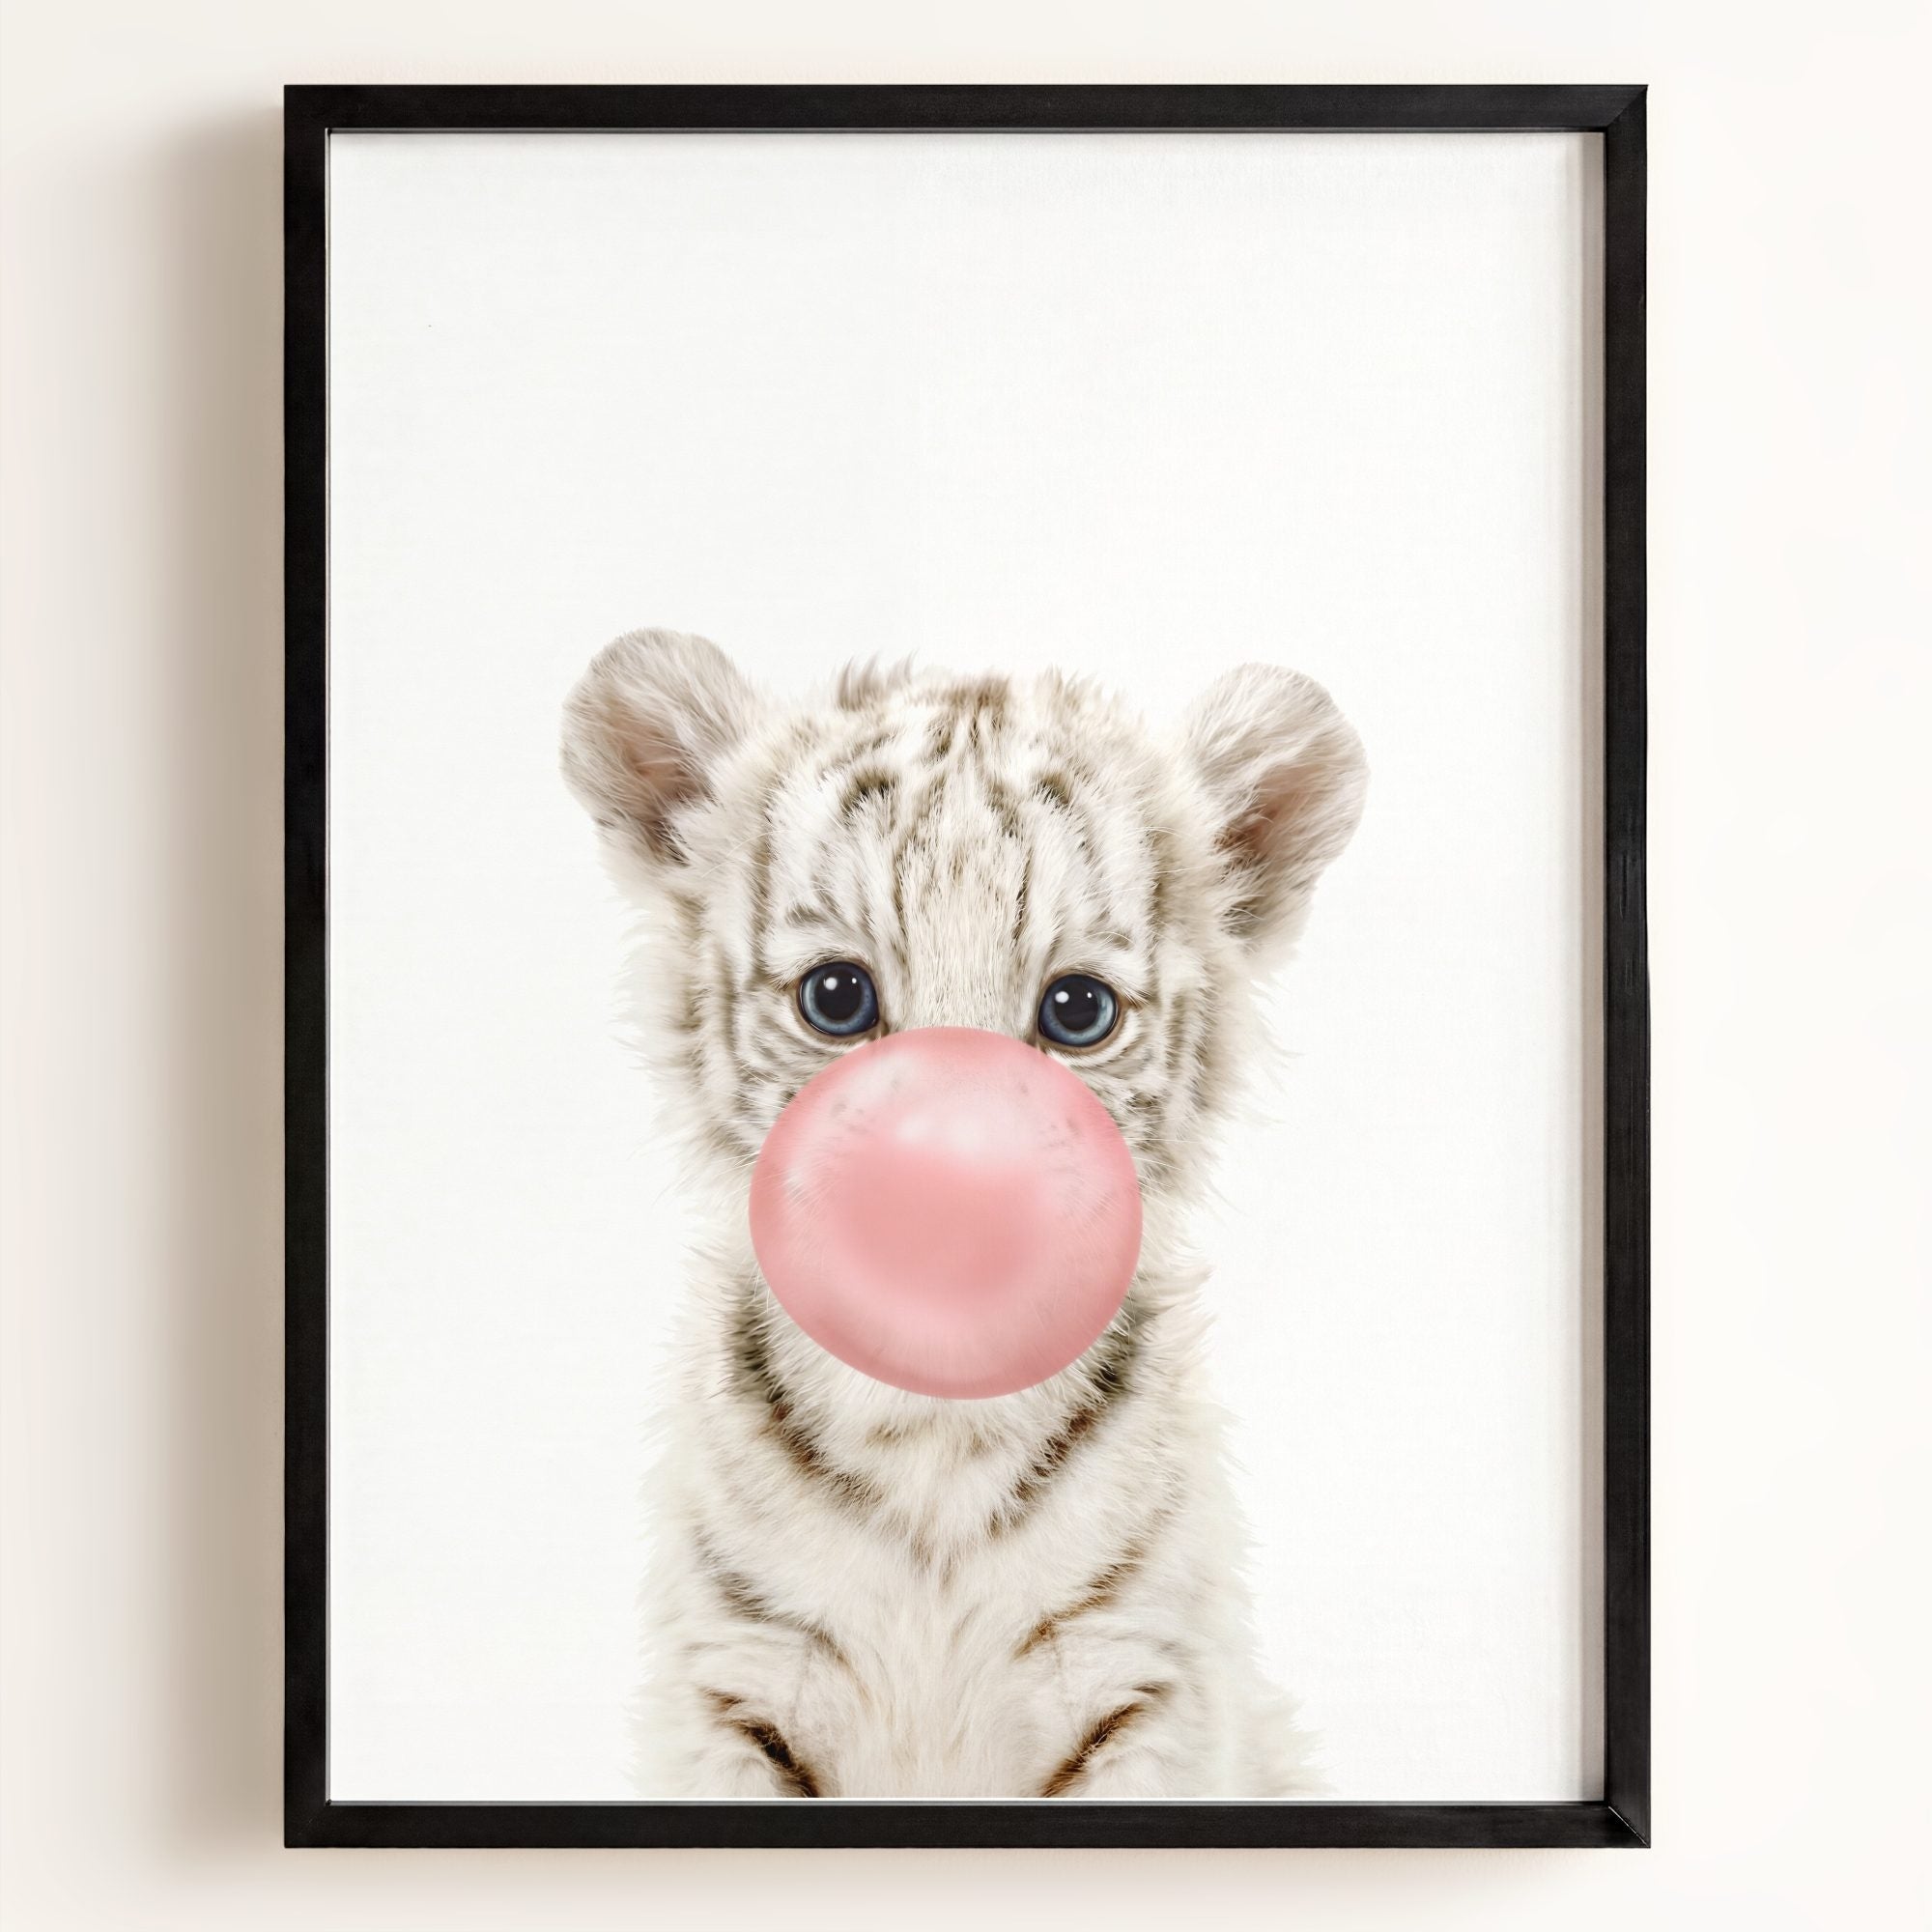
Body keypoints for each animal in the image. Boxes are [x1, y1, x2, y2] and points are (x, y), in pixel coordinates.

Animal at [561, 627, 1366, 1798]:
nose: (952, 1193)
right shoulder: (734, 1684)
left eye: (1076, 1011)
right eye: (836, 997)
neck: (933, 1433)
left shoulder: (1142, 1685)